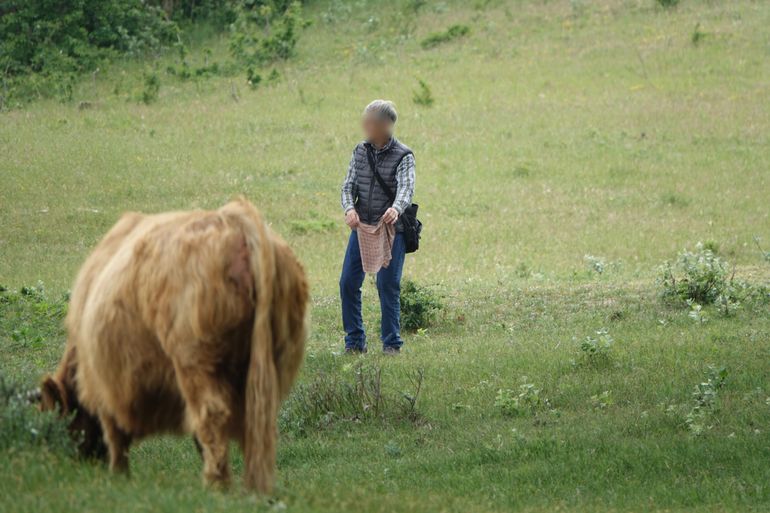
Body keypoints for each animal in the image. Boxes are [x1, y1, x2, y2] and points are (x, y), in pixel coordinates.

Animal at [39, 197, 308, 492]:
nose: (71, 465)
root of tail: (236, 220)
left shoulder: (106, 383)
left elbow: (115, 437)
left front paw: (119, 477)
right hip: (267, 363)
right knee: (256, 423)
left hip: (194, 361)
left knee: (210, 416)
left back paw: (216, 485)